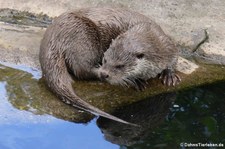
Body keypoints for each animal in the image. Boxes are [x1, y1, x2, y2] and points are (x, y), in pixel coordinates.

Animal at [39, 7, 180, 125]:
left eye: (120, 66)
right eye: (105, 59)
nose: (104, 73)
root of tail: (53, 37)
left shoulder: (167, 44)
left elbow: (174, 58)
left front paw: (169, 75)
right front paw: (136, 80)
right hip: (83, 37)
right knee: (81, 69)